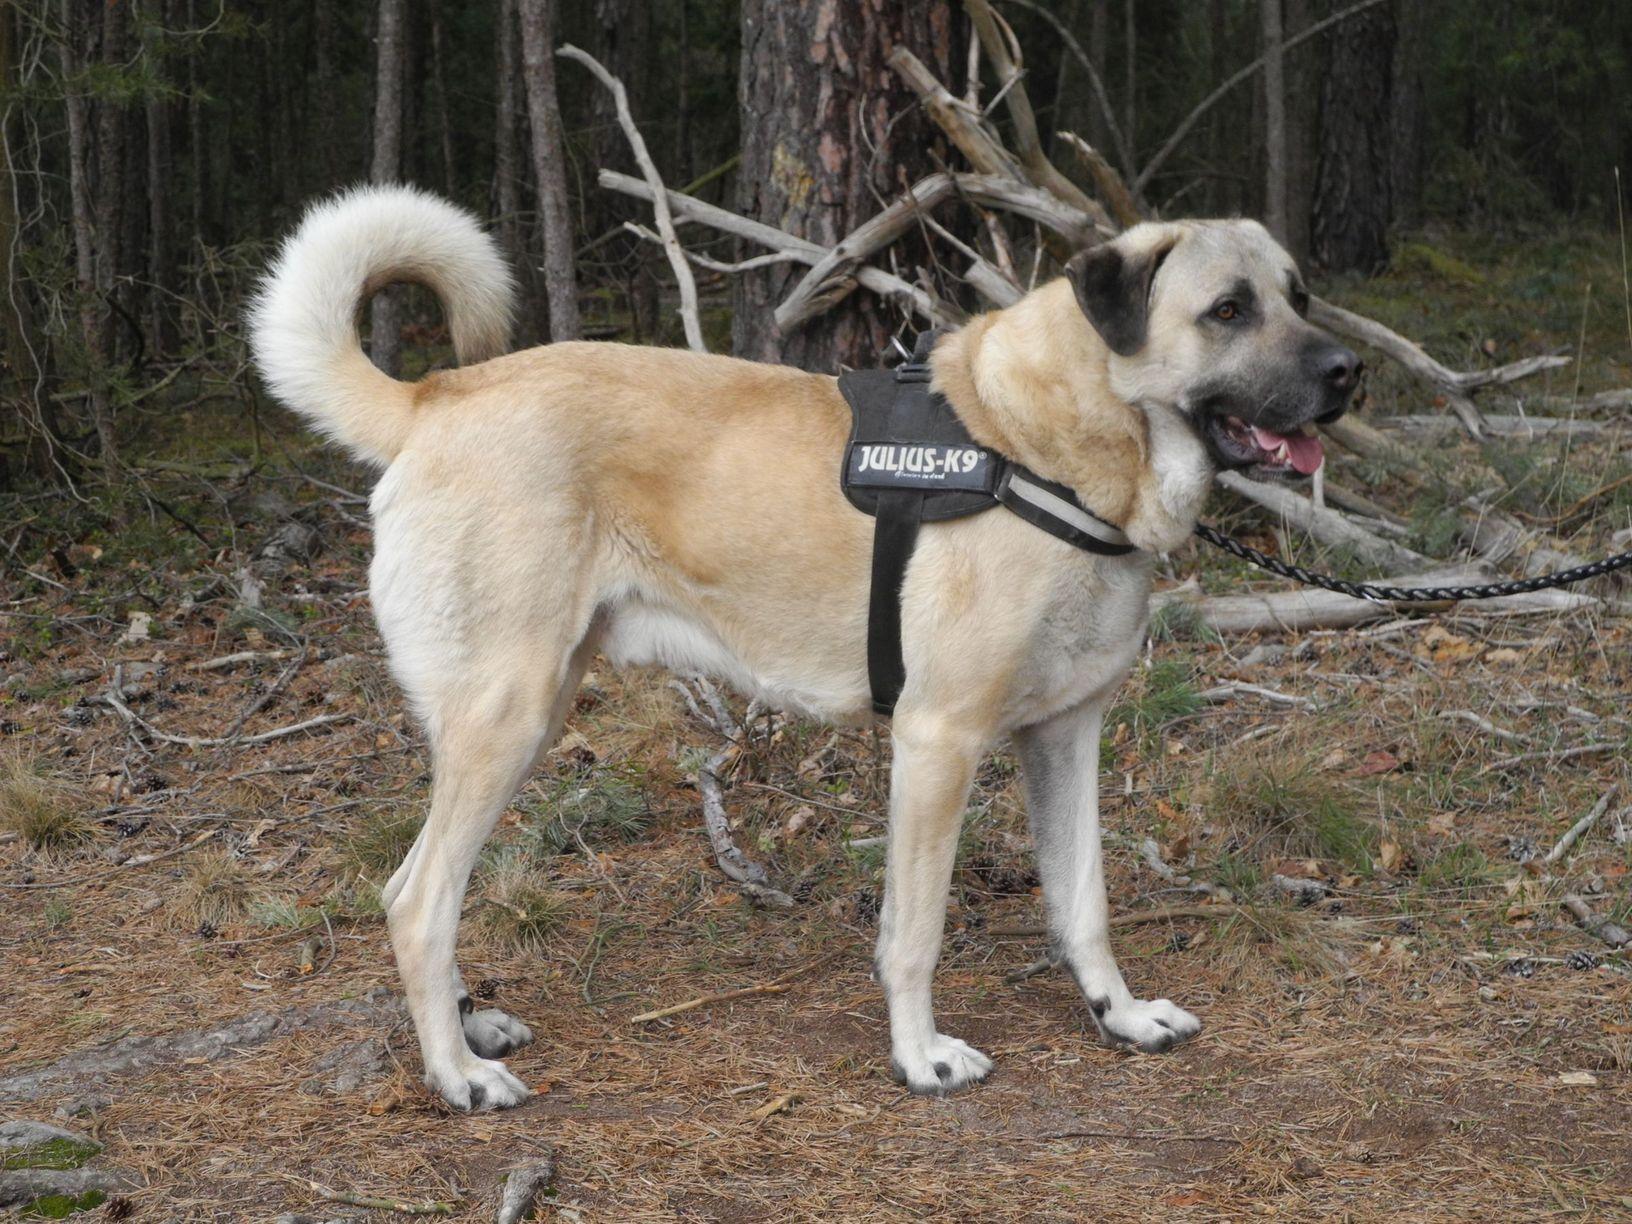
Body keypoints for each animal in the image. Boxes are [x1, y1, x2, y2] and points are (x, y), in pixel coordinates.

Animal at [250, 185, 1359, 1111]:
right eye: (1227, 310)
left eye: (1299, 295)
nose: (1349, 371)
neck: (1047, 446)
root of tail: (436, 394)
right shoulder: (937, 742)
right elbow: (913, 934)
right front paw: (920, 1057)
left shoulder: (1065, 735)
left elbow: (1083, 903)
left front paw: (1119, 1016)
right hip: (504, 720)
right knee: (417, 902)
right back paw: (456, 1074)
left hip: (532, 714)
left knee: (415, 890)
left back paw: (471, 1025)